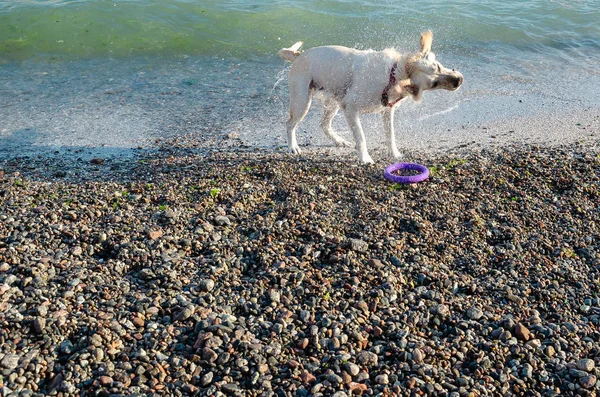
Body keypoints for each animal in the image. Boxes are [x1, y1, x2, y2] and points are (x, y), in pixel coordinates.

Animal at [278, 30, 464, 164]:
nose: (460, 80)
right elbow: (361, 137)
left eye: (437, 66)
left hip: (333, 102)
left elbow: (390, 136)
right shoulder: (350, 108)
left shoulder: (387, 111)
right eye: (433, 83)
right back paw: (293, 147)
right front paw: (365, 158)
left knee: (324, 125)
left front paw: (395, 154)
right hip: (302, 101)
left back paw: (339, 141)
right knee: (289, 124)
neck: (392, 76)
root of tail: (298, 55)